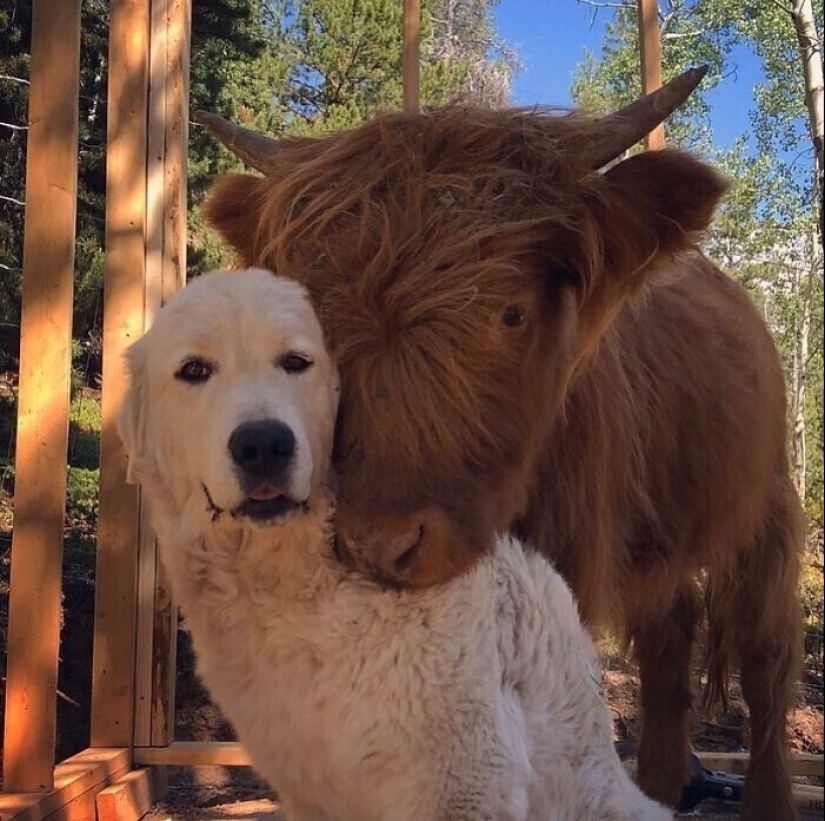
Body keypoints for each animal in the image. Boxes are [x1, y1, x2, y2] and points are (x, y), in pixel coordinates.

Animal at [196, 67, 800, 816]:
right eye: (311, 330)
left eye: (510, 313)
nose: (380, 546)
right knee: (667, 644)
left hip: (766, 508)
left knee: (765, 655)